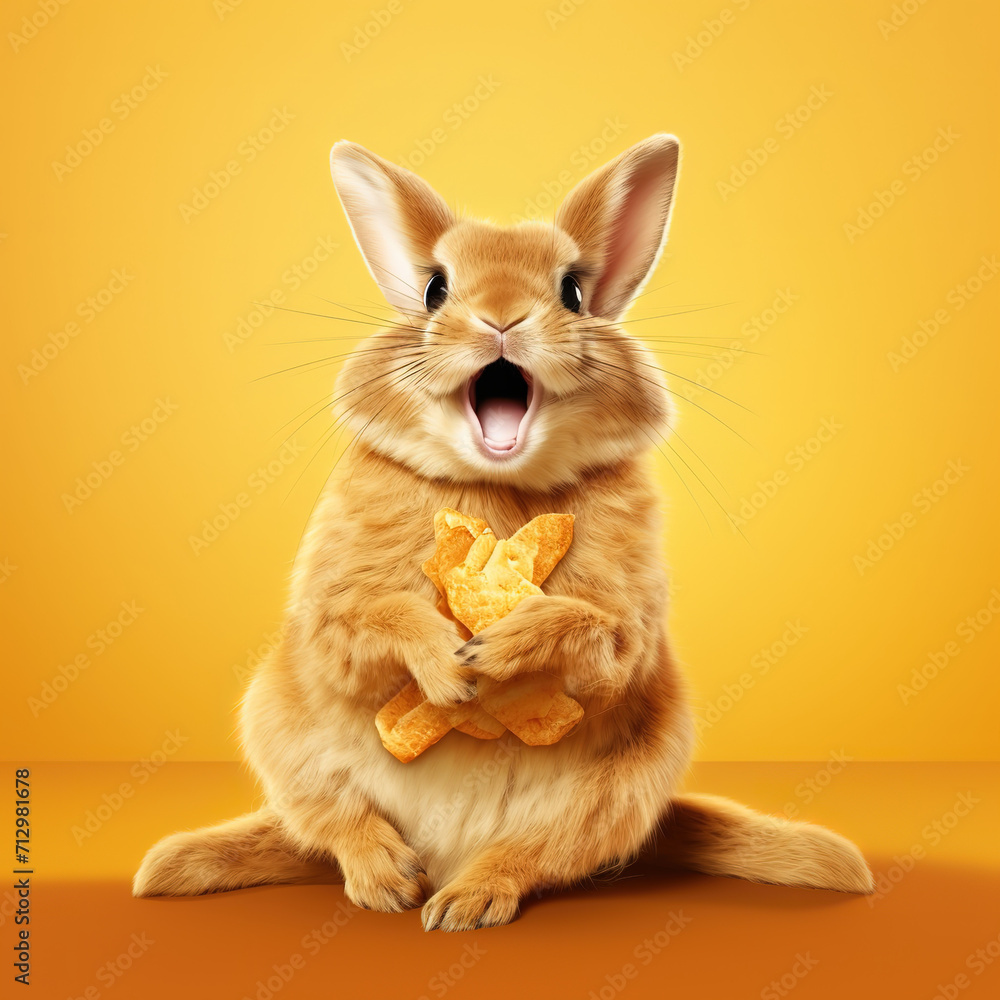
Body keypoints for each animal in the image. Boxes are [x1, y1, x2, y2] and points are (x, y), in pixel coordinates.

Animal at [133, 134, 874, 931]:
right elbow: (375, 619)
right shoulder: (334, 615)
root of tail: (444, 853)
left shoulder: (626, 626)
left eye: (572, 291)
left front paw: (496, 652)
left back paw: (464, 901)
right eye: (436, 289)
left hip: (622, 786)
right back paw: (384, 881)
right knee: (338, 824)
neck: (498, 484)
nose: (502, 318)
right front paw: (452, 667)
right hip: (277, 728)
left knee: (537, 855)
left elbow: (595, 632)